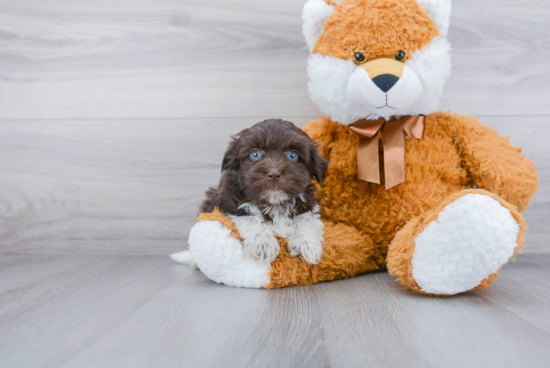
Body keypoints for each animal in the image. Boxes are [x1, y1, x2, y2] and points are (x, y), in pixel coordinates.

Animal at [204, 120, 330, 264]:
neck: (274, 202)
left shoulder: (307, 202)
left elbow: (306, 219)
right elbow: (252, 217)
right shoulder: (231, 200)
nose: (274, 174)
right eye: (255, 154)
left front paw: (306, 244)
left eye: (293, 155)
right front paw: (263, 244)